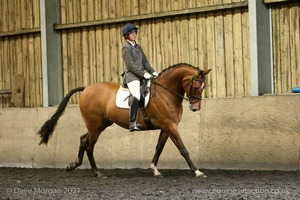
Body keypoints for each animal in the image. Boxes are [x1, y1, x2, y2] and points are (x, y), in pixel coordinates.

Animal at [37, 63, 211, 178]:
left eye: (203, 87)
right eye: (196, 86)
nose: (195, 108)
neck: (165, 93)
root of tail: (86, 88)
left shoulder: (166, 127)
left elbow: (159, 148)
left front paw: (154, 169)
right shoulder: (170, 126)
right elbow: (183, 149)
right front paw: (197, 171)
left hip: (100, 124)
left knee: (83, 140)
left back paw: (73, 165)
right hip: (95, 126)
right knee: (89, 145)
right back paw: (97, 172)